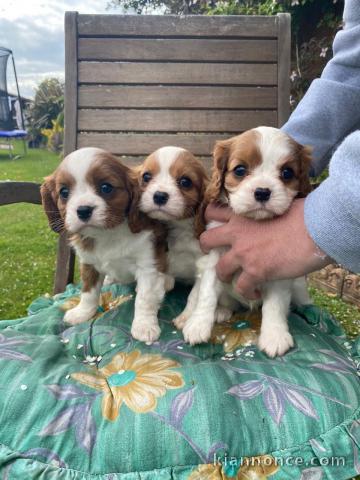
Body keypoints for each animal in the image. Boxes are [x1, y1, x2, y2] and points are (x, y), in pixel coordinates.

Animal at [40, 148, 169, 344]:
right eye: (64, 192)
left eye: (106, 188)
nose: (83, 210)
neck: (107, 233)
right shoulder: (89, 264)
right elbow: (89, 293)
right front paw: (83, 313)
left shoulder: (148, 265)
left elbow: (145, 298)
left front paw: (144, 325)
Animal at [180, 127, 312, 356]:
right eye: (240, 170)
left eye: (287, 173)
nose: (262, 192)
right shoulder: (215, 259)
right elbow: (206, 293)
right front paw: (198, 324)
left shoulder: (278, 270)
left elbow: (274, 304)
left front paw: (274, 335)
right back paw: (221, 311)